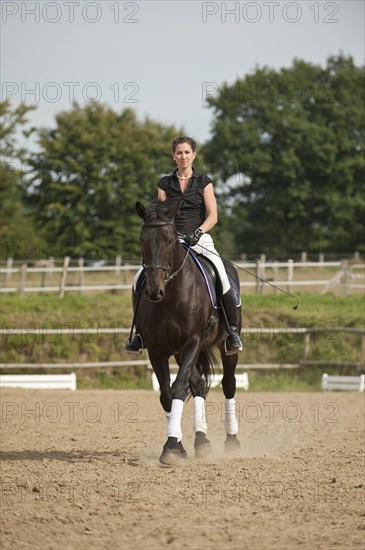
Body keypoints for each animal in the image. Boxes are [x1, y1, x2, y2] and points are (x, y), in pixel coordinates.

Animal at [132, 199, 240, 466]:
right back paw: (201, 440)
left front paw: (172, 446)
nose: (154, 291)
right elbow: (167, 394)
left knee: (229, 384)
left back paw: (232, 441)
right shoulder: (158, 350)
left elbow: (179, 388)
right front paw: (177, 445)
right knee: (199, 384)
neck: (171, 295)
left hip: (224, 346)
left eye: (170, 240)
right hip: (180, 353)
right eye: (142, 239)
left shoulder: (192, 342)